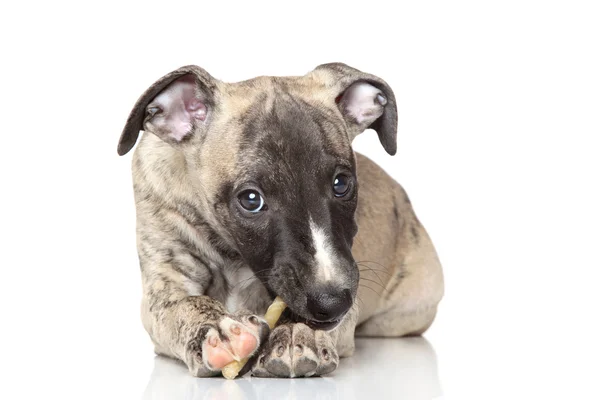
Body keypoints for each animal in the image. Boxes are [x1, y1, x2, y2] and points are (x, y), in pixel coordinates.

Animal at [119, 63, 442, 378]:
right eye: (251, 199)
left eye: (341, 183)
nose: (332, 303)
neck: (232, 254)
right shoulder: (163, 286)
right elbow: (185, 304)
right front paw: (219, 328)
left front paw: (297, 331)